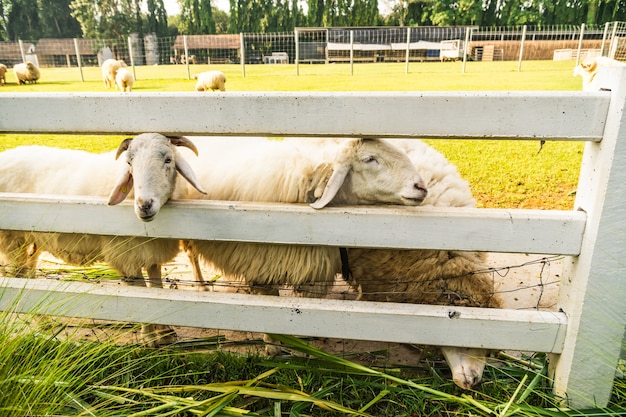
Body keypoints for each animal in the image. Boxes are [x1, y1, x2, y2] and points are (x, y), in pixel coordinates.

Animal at [0, 133, 206, 344]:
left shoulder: (151, 251)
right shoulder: (126, 257)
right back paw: (40, 321)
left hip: (31, 237)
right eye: (129, 162)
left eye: (168, 160)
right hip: (11, 238)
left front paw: (164, 332)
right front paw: (149, 337)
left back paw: (44, 321)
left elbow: (156, 288)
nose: (144, 205)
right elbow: (142, 294)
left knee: (29, 276)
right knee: (18, 276)